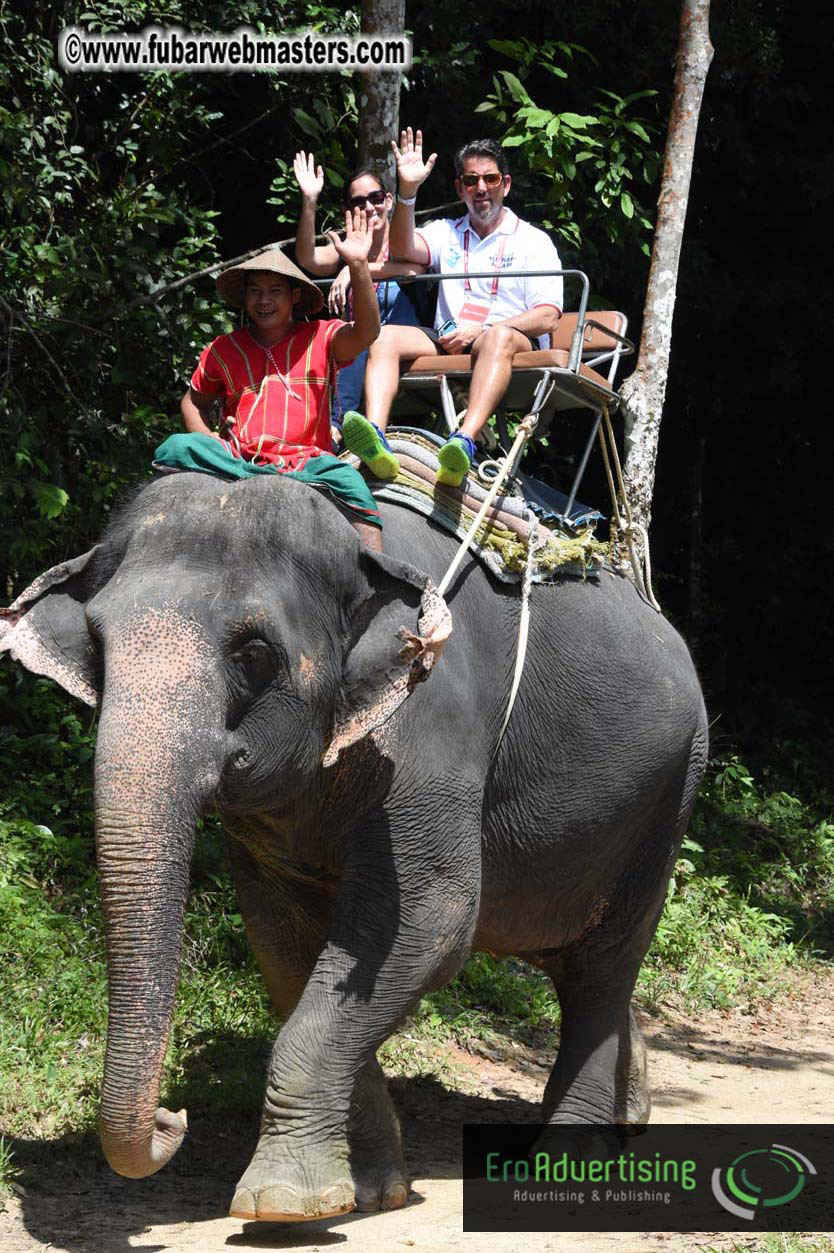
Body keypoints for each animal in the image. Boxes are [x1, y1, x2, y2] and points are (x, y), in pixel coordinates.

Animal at [0, 468, 707, 1222]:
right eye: (98, 645)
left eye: (253, 654)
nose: (172, 1119)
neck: (354, 539)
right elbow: (284, 947)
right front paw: (362, 1190)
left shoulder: (431, 732)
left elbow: (428, 921)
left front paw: (278, 1203)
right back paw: (630, 1116)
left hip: (668, 795)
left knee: (603, 968)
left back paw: (567, 1158)